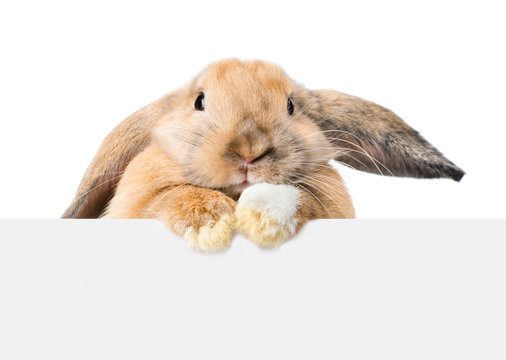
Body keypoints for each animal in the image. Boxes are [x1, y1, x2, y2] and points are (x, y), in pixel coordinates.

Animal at [61, 58, 464, 250]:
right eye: (199, 101)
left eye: (291, 106)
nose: (248, 151)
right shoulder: (140, 198)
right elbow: (170, 196)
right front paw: (213, 224)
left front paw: (262, 216)